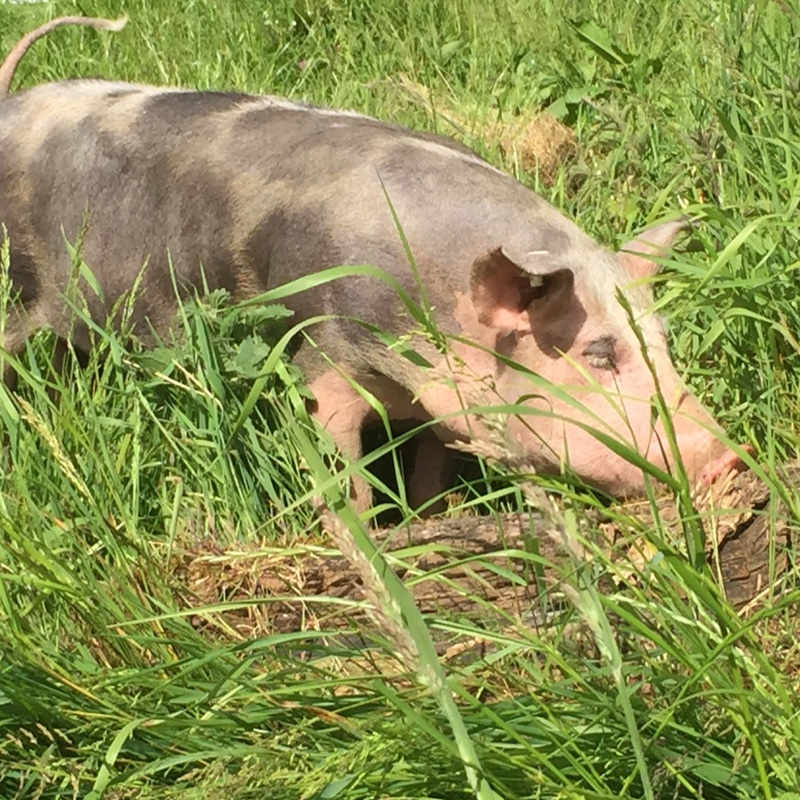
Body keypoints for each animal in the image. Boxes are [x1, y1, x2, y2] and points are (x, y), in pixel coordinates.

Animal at [0, 17, 752, 512]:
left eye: (660, 342)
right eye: (599, 353)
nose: (726, 459)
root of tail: (12, 101)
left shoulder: (440, 396)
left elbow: (435, 464)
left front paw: (431, 516)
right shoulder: (319, 357)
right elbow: (343, 465)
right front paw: (377, 543)